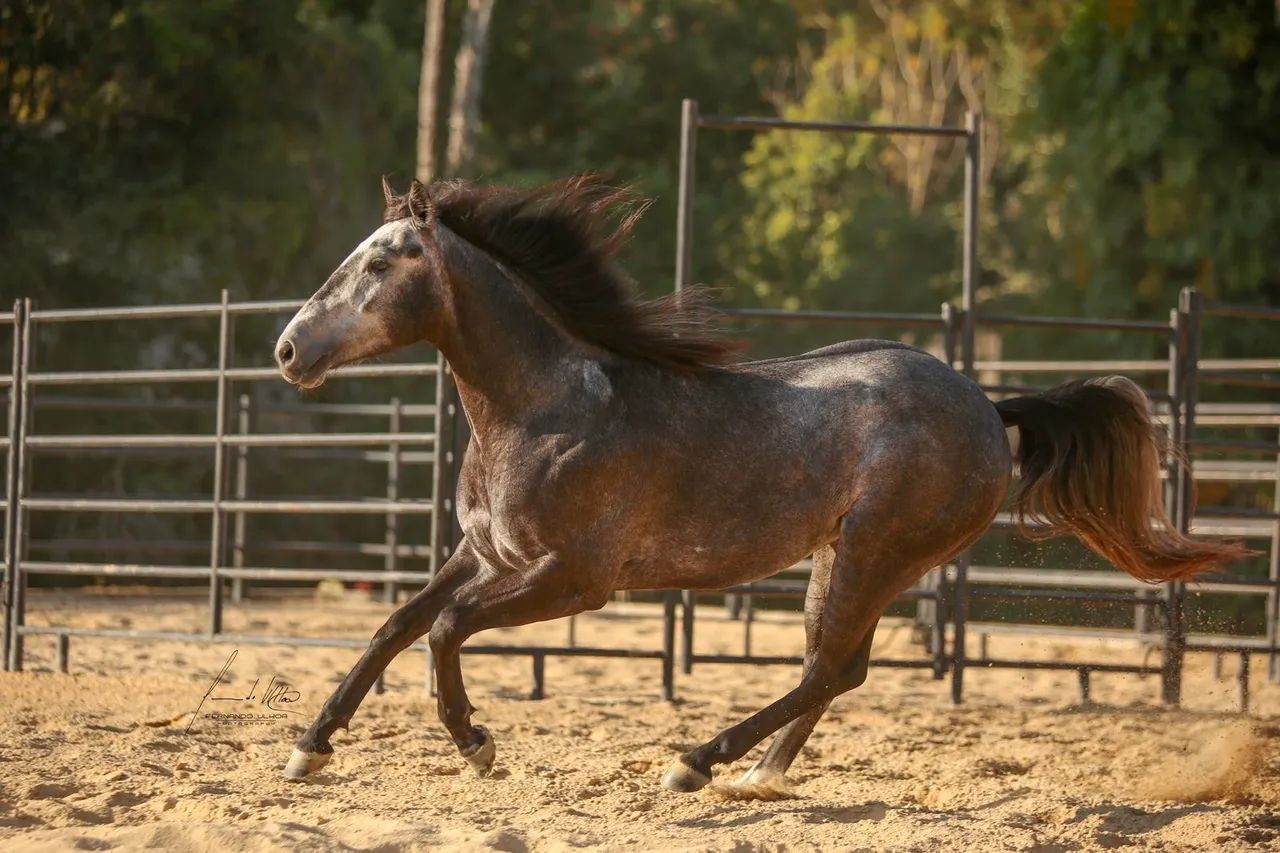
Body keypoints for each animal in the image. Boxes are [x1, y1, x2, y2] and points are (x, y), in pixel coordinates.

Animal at [273, 175, 1245, 794]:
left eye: (381, 262)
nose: (288, 348)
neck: (542, 404)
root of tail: (986, 405)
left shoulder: (573, 579)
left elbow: (442, 631)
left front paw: (477, 743)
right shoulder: (485, 553)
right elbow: (395, 625)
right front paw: (309, 748)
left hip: (877, 552)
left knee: (828, 669)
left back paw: (698, 762)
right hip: (847, 560)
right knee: (835, 671)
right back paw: (756, 774)